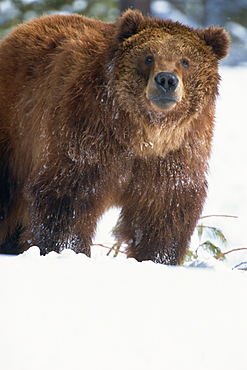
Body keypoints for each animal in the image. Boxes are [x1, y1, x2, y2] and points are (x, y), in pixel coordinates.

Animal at [0, 8, 230, 264]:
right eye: (148, 57)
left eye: (186, 60)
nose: (166, 80)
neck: (141, 134)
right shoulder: (87, 131)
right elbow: (68, 199)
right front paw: (65, 250)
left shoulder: (175, 154)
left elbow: (164, 210)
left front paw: (157, 258)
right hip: (14, 131)